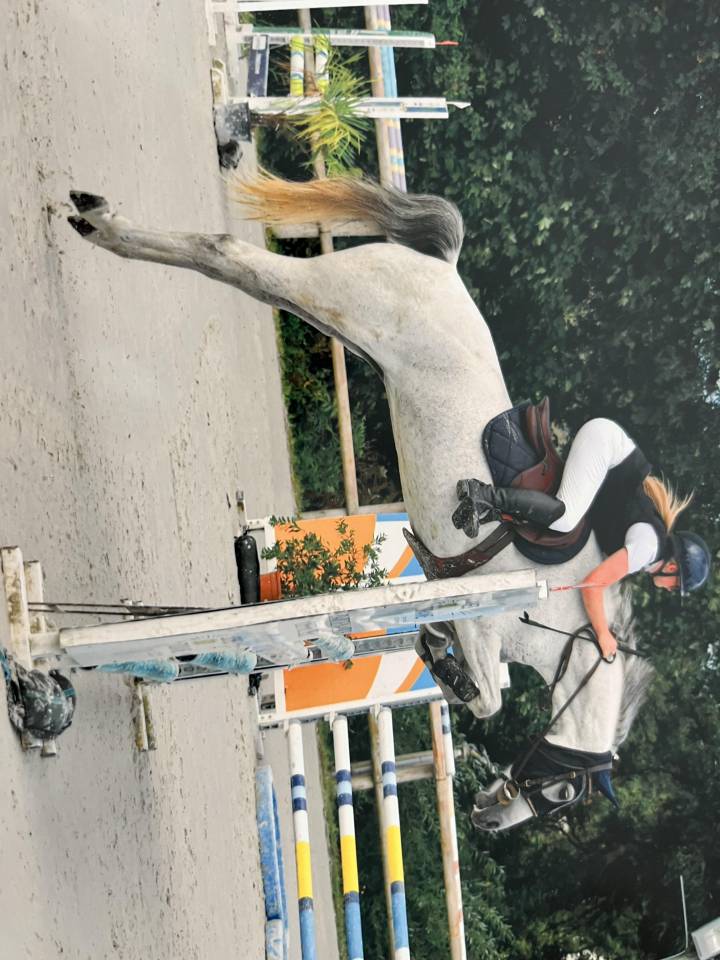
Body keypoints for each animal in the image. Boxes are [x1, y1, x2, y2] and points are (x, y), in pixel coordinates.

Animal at [67, 175, 654, 830]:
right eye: (562, 794)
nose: (486, 818)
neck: (570, 624)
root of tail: (444, 267)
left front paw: (433, 648)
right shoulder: (486, 624)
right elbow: (487, 698)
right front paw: (446, 668)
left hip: (332, 319)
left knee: (235, 272)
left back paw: (94, 220)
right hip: (339, 298)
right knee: (229, 253)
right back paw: (105, 228)